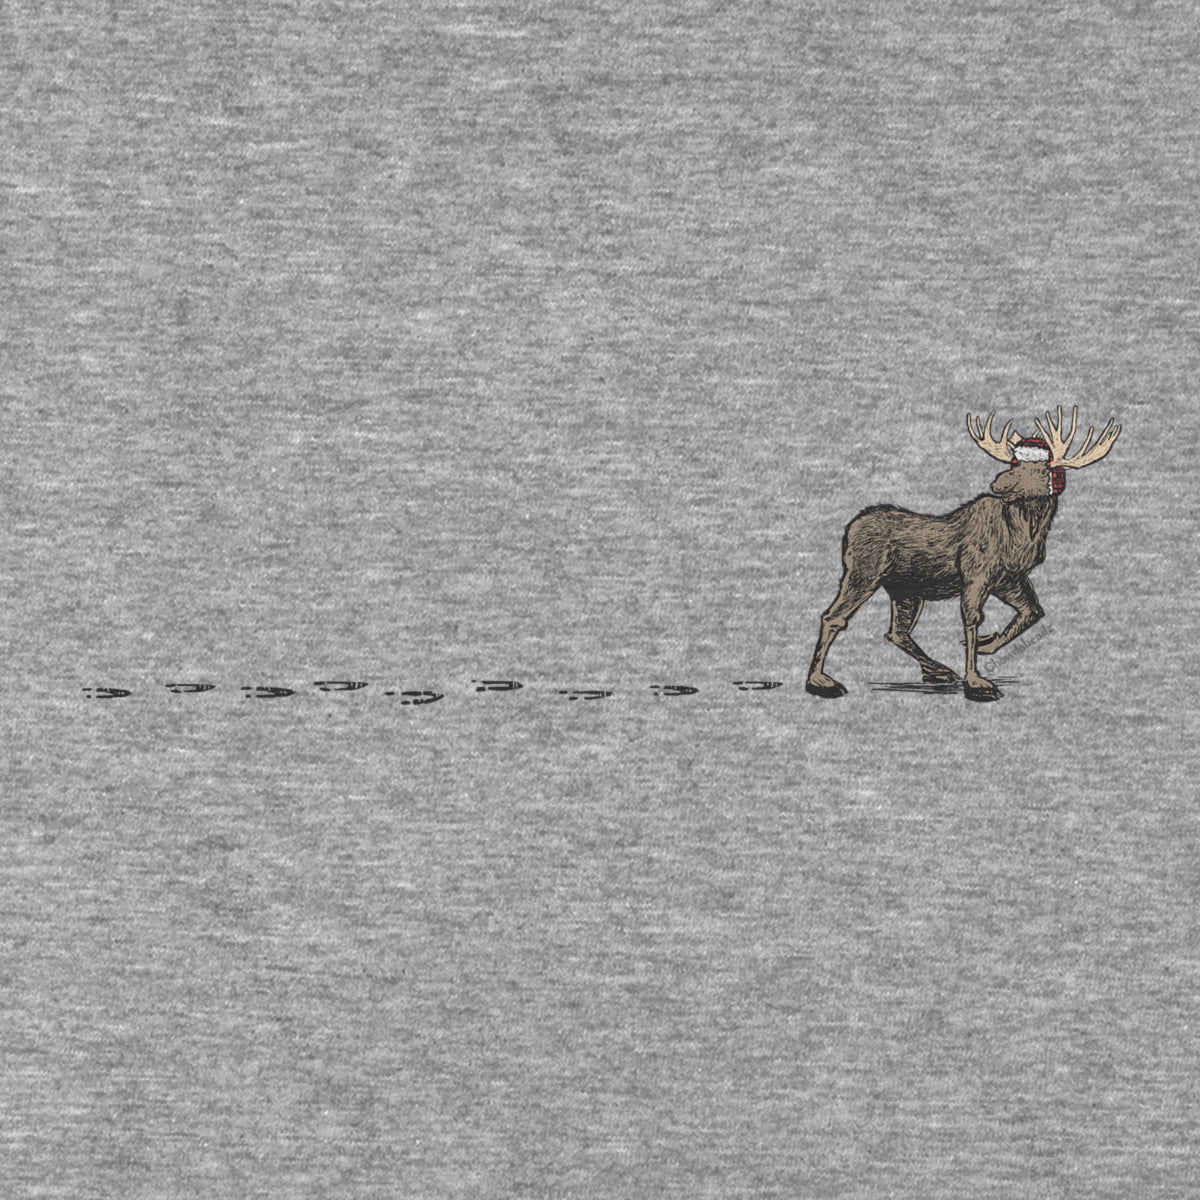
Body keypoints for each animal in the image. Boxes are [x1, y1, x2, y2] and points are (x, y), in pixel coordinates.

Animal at [805, 406, 1120, 702]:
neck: (1023, 534)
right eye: (1014, 462)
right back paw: (820, 681)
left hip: (905, 589)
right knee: (833, 617)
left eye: (1045, 469)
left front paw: (986, 645)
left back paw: (938, 670)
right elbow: (972, 618)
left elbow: (1032, 611)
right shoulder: (976, 575)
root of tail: (849, 530)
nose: (998, 482)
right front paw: (976, 682)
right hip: (864, 572)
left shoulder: (1009, 579)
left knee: (896, 631)